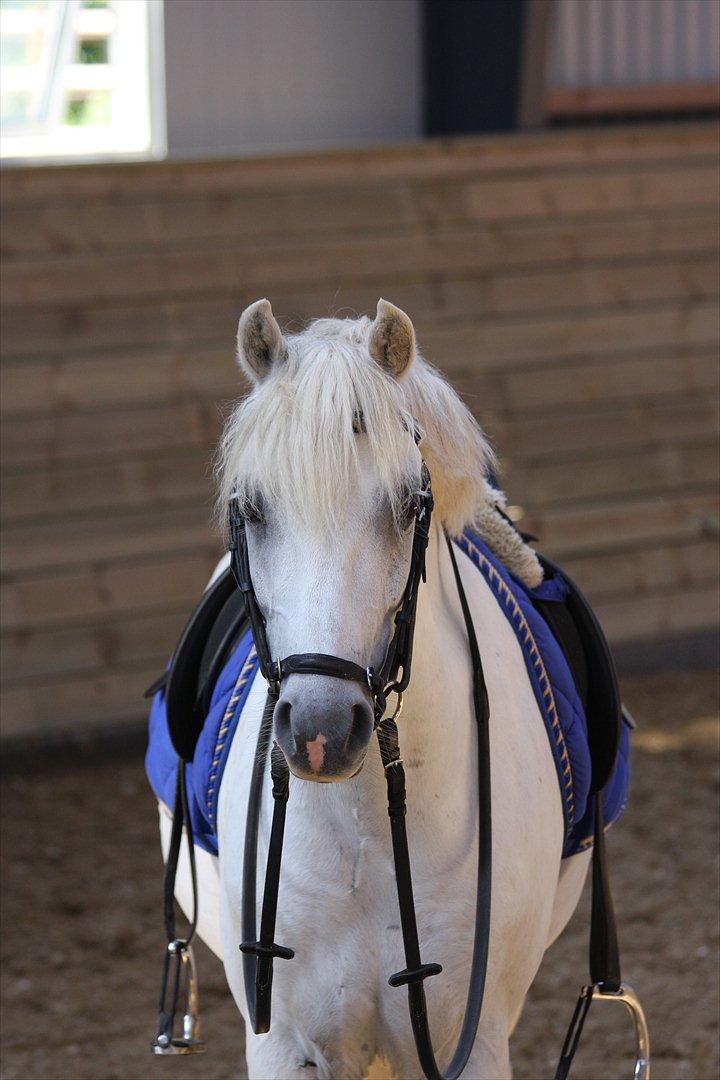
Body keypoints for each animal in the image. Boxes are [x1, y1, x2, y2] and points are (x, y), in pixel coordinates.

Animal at [157, 298, 594, 1079]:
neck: (362, 830)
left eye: (407, 505)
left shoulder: (475, 1044)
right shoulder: (281, 1045)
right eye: (253, 507)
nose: (320, 730)